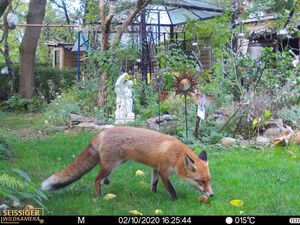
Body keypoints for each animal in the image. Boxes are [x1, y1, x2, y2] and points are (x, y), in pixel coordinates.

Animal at [41, 126, 213, 200]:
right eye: (201, 181)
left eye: (209, 181)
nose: (212, 195)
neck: (176, 155)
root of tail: (102, 132)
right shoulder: (163, 171)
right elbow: (171, 189)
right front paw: (175, 200)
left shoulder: (155, 168)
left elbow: (153, 183)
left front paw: (154, 194)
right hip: (110, 165)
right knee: (96, 179)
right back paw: (99, 196)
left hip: (114, 165)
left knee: (102, 178)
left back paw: (106, 184)